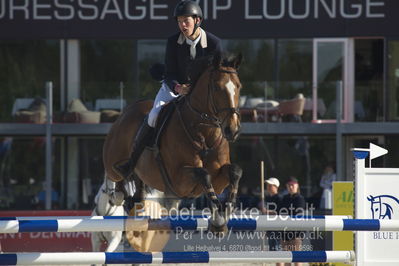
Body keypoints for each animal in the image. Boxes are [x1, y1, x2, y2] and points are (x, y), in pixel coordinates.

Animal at [103, 53, 244, 232]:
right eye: (217, 88)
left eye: (238, 87)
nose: (232, 130)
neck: (204, 134)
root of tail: (127, 111)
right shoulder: (179, 181)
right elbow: (203, 174)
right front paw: (219, 217)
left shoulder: (218, 180)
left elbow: (235, 171)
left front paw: (227, 208)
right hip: (112, 162)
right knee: (117, 175)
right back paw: (120, 192)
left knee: (137, 186)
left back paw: (134, 201)